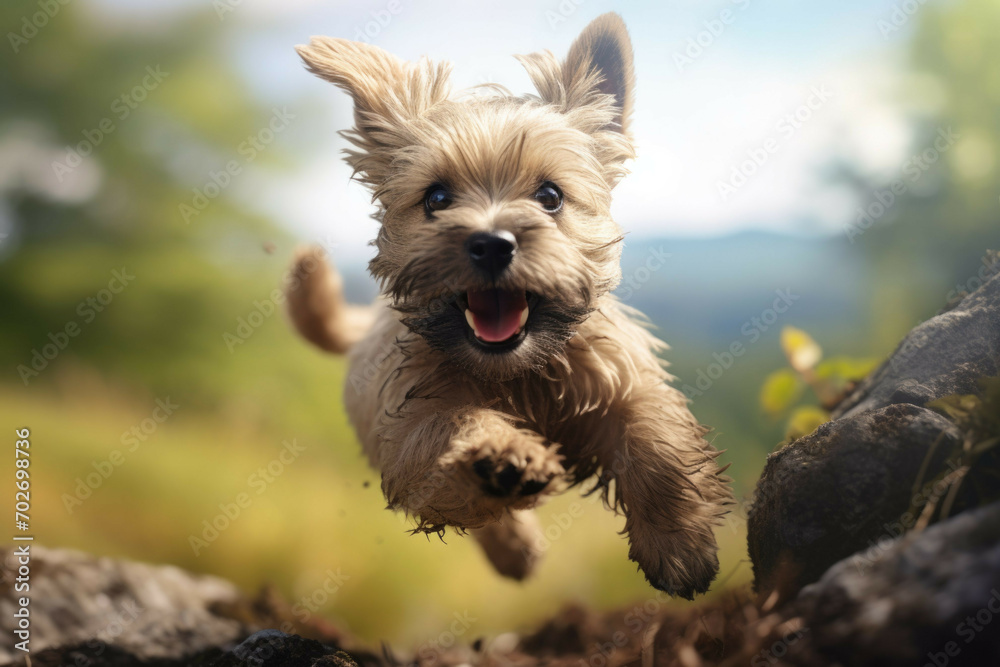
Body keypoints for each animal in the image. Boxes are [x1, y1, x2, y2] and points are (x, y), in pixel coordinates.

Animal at [286, 13, 732, 596]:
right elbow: (450, 428)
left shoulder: (626, 378)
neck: (520, 376)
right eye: (436, 198)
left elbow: (656, 438)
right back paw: (514, 546)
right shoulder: (407, 426)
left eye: (550, 196)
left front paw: (679, 544)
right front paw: (501, 456)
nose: (492, 244)